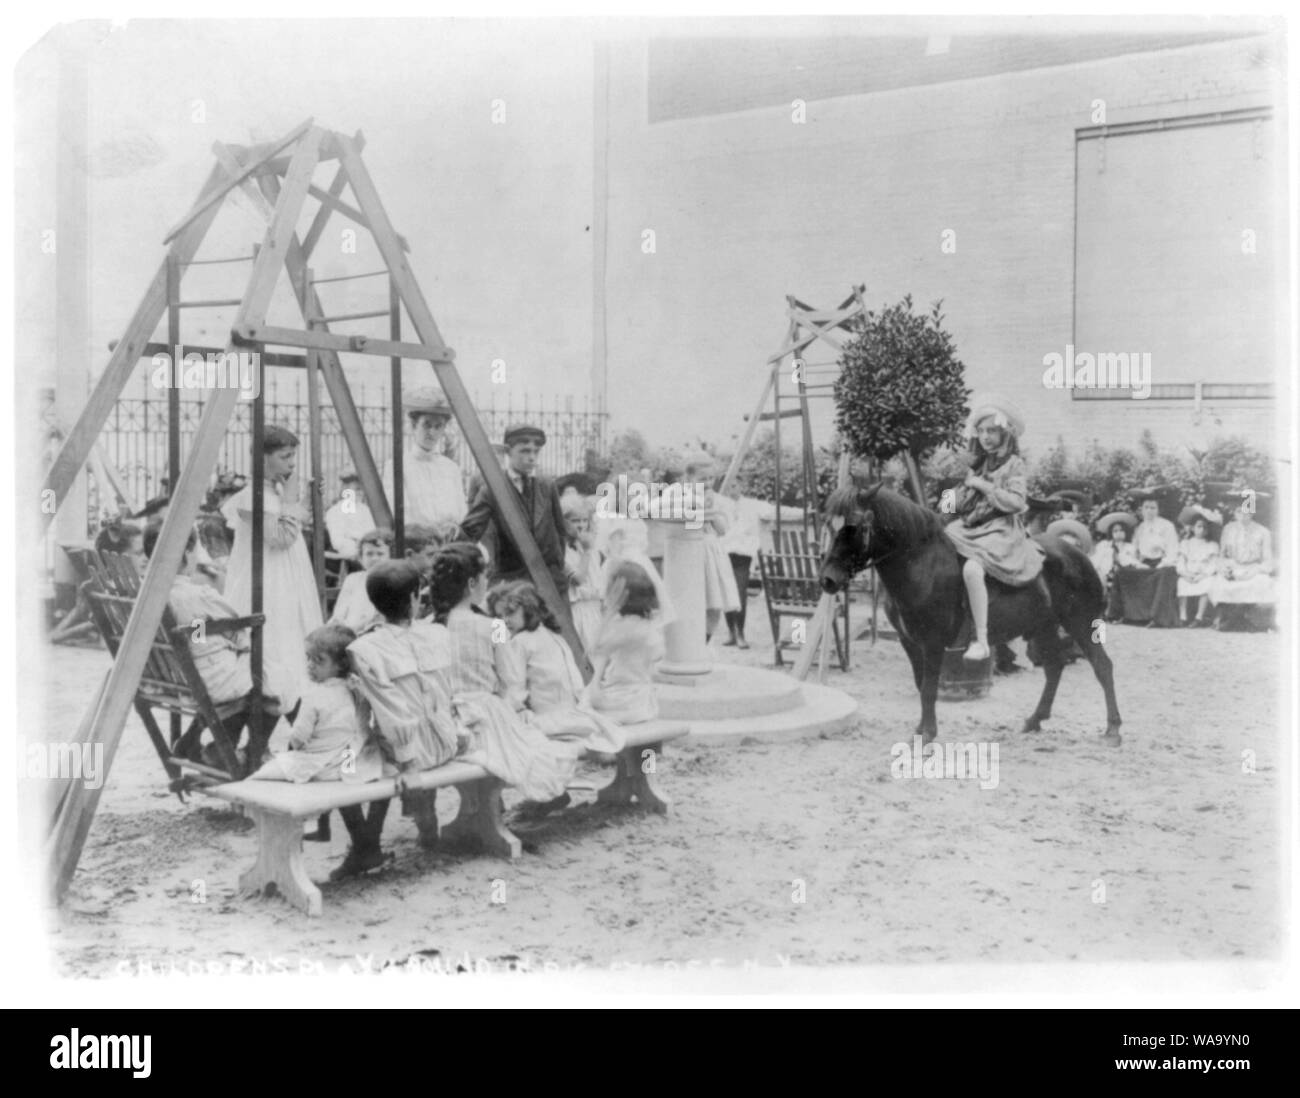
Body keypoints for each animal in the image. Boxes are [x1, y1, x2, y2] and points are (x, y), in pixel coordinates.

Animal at [821, 485, 1118, 743]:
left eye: (857, 527)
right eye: (829, 526)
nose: (828, 580)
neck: (922, 565)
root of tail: (1079, 556)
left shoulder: (932, 643)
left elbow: (929, 689)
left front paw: (927, 734)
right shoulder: (910, 642)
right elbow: (920, 685)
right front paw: (921, 729)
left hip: (1081, 624)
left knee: (1102, 666)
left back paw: (1113, 729)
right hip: (1044, 628)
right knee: (1054, 668)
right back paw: (1035, 720)